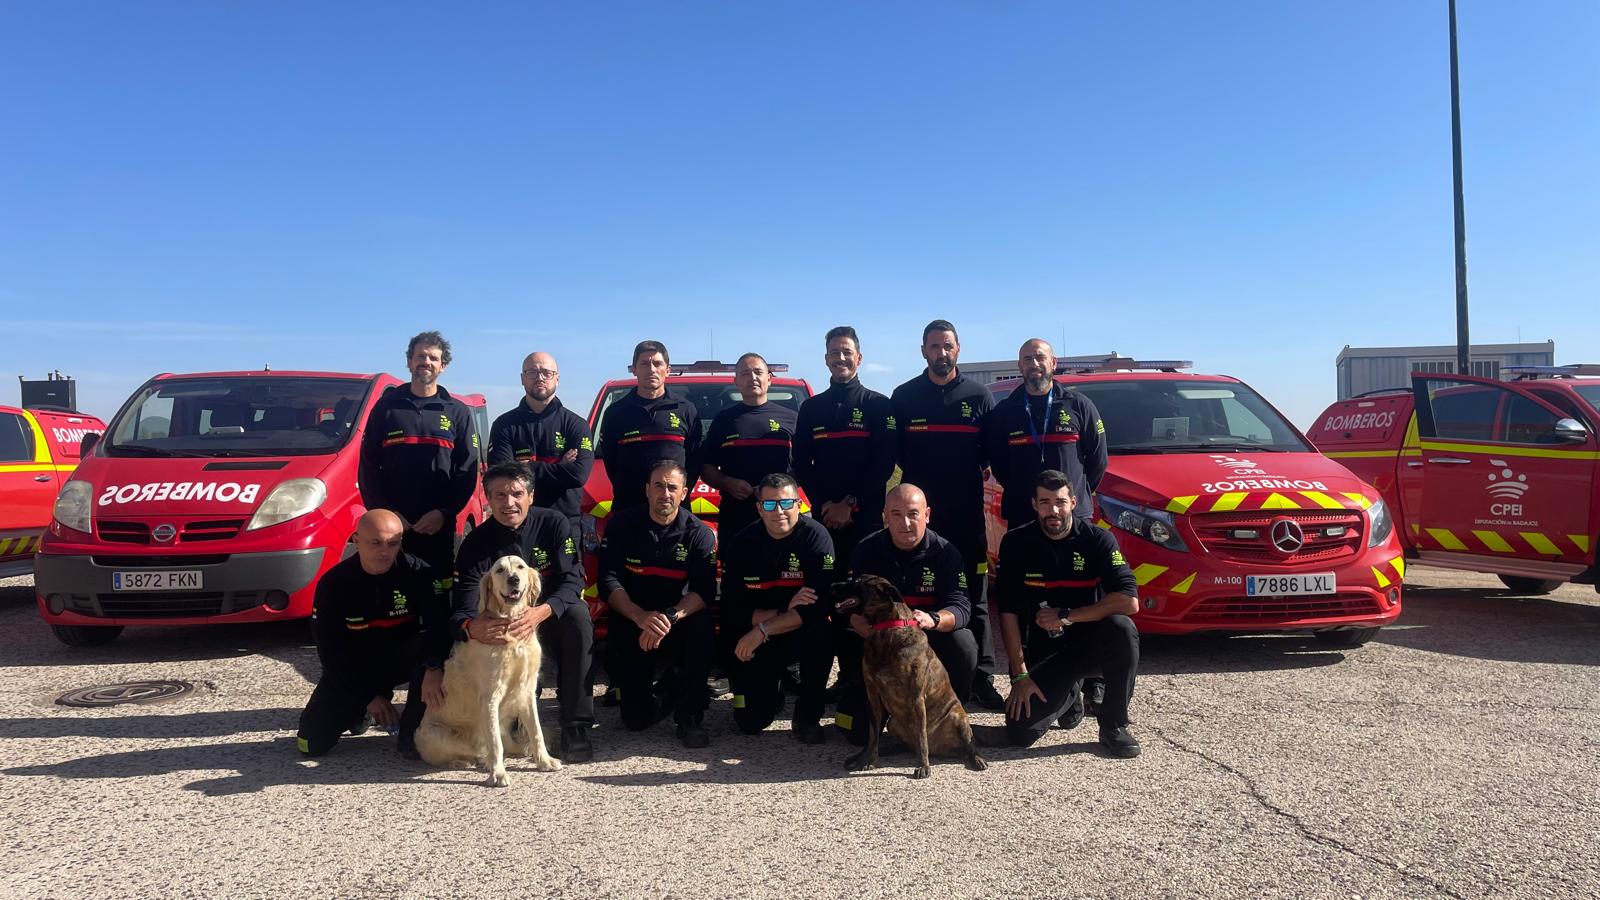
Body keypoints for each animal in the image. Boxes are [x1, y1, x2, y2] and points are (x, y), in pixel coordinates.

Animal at [838, 573, 985, 778]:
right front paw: (868, 759)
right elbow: (873, 735)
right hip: (893, 723)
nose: (832, 585)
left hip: (959, 718)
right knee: (907, 744)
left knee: (968, 745)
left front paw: (923, 766)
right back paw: (888, 750)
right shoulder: (873, 697)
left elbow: (921, 735)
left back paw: (976, 759)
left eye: (858, 582)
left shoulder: (916, 698)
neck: (885, 630)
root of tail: (938, 749)